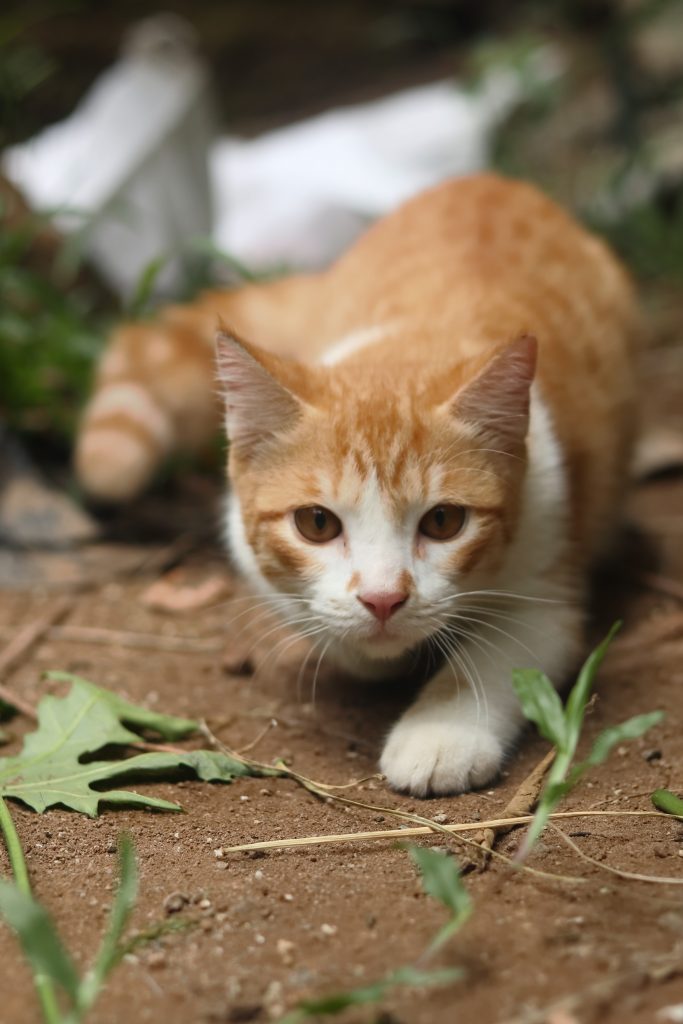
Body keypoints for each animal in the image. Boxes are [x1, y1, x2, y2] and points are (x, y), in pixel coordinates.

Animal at [76, 174, 643, 798]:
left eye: (444, 521)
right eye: (316, 523)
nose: (383, 599)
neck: (411, 342)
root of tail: (489, 180)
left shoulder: (550, 565)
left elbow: (502, 653)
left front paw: (442, 731)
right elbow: (324, 623)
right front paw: (373, 648)